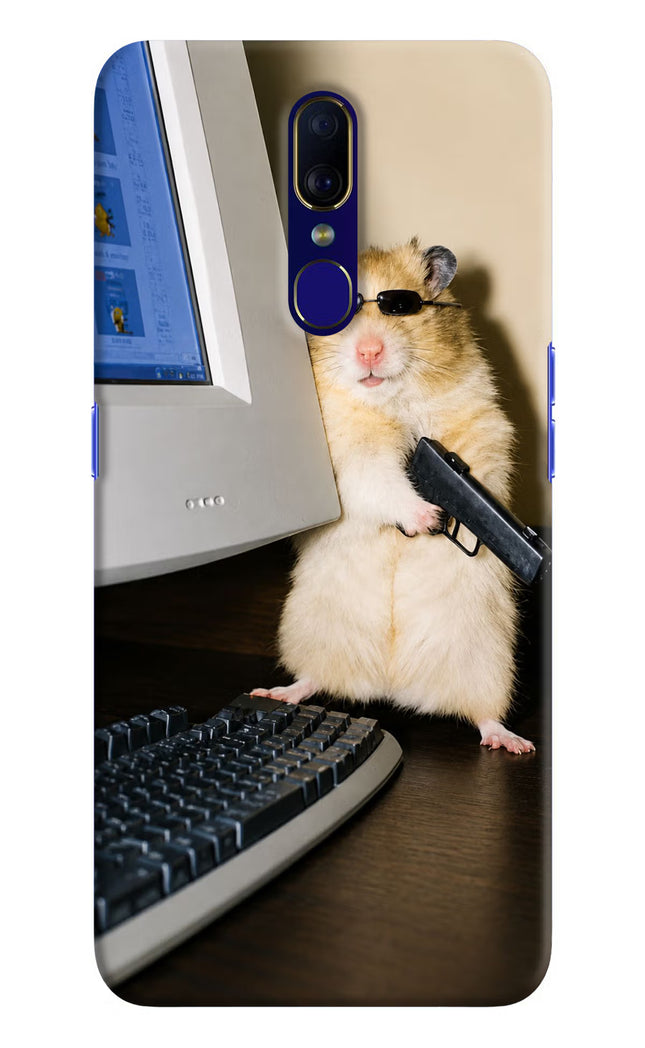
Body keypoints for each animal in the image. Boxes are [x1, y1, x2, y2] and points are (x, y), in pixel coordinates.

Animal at [252, 239, 534, 754]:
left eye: (401, 307)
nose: (369, 351)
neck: (390, 401)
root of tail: (392, 686)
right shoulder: (348, 459)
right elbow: (380, 481)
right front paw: (428, 518)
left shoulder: (481, 424)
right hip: (311, 632)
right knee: (313, 679)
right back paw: (276, 692)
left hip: (488, 660)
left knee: (483, 714)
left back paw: (513, 742)